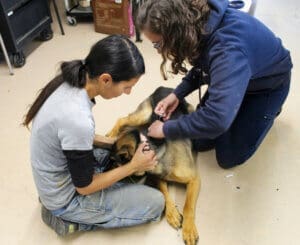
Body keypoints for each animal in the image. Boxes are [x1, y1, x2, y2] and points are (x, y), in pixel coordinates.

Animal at [106, 86, 200, 245]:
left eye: (113, 164)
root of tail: (164, 87)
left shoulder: (194, 179)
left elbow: (188, 206)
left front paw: (188, 230)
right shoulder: (158, 178)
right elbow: (165, 193)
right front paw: (172, 214)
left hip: (187, 109)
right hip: (144, 115)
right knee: (123, 119)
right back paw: (111, 134)